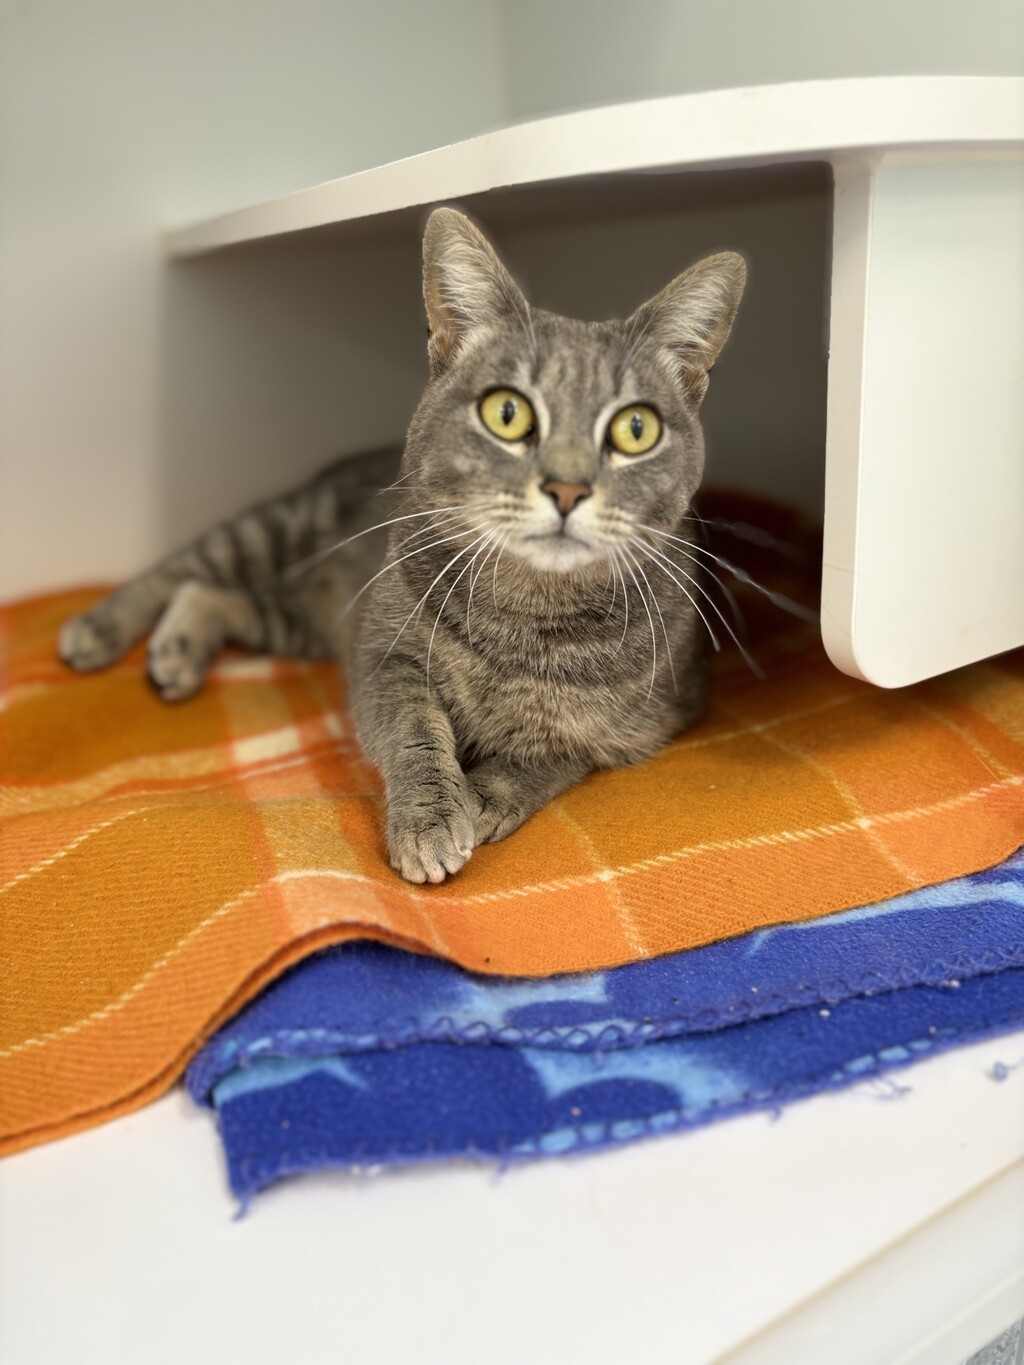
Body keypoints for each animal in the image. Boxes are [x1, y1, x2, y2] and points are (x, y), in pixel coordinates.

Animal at [59, 208, 746, 884]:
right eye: (507, 413)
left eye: (636, 428)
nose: (568, 487)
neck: (528, 616)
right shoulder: (381, 656)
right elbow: (415, 729)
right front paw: (432, 819)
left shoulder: (649, 723)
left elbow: (552, 754)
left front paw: (485, 796)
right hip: (276, 533)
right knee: (184, 569)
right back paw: (99, 631)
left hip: (307, 622)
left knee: (216, 595)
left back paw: (178, 651)